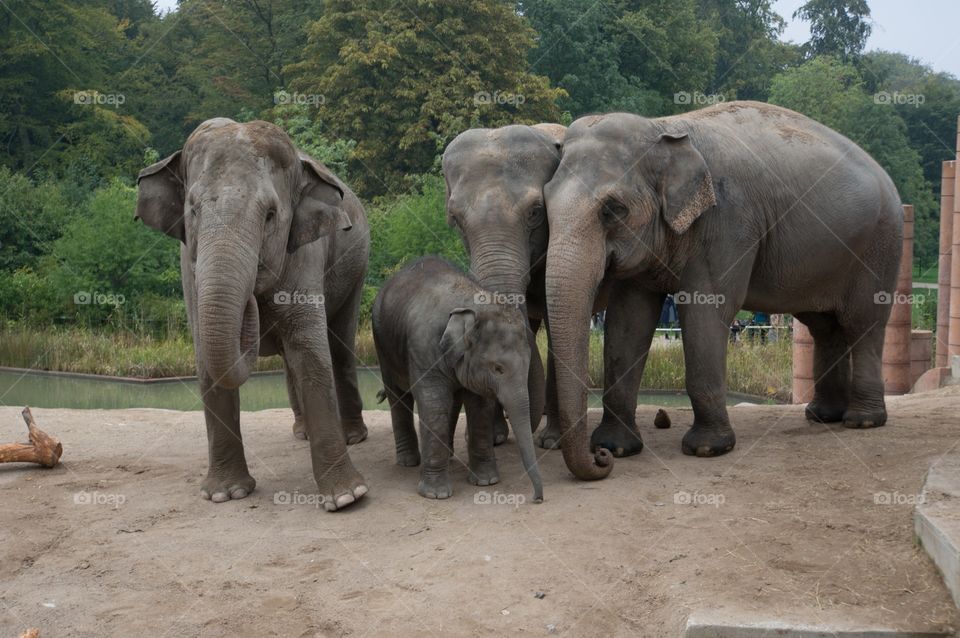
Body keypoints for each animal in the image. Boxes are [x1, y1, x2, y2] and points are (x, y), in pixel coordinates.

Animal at [135, 117, 371, 511]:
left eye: (271, 215)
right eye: (193, 210)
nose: (252, 302)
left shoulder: (305, 252)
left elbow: (310, 352)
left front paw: (346, 498)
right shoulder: (189, 266)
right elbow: (205, 354)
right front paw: (224, 494)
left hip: (356, 270)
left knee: (339, 345)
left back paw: (353, 436)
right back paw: (301, 433)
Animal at [372, 257, 543, 503]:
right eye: (498, 368)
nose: (536, 498)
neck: (472, 305)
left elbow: (480, 407)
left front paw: (486, 482)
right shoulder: (424, 349)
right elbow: (434, 405)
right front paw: (436, 494)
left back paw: (448, 455)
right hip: (382, 345)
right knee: (399, 395)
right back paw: (408, 462)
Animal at [542, 101, 903, 480]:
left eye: (613, 209)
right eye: (544, 207)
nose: (598, 457)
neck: (663, 127)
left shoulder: (729, 222)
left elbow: (704, 310)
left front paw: (707, 449)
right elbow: (628, 321)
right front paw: (618, 447)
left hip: (880, 245)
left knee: (863, 324)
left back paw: (862, 421)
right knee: (824, 326)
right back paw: (821, 415)